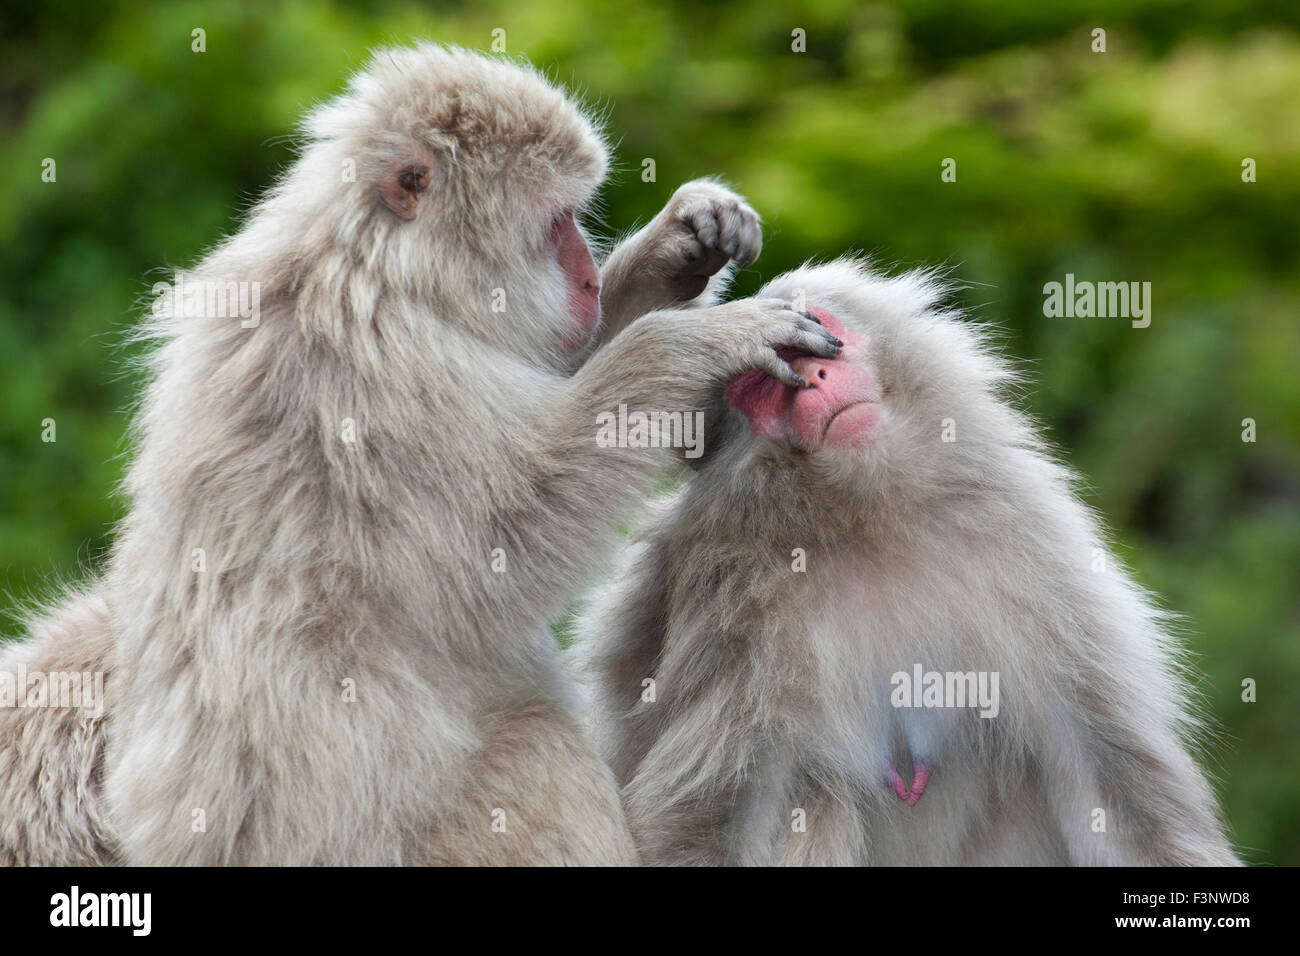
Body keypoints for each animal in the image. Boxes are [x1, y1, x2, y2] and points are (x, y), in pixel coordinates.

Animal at [0, 43, 841, 865]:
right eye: (556, 221)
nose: (585, 279)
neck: (386, 270)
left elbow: (554, 369)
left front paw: (681, 245)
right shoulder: (379, 375)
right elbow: (501, 552)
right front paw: (692, 343)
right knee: (536, 752)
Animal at [574, 258, 1240, 866]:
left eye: (816, 337)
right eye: (767, 379)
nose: (816, 378)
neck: (865, 520)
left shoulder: (1028, 541)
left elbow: (1113, 787)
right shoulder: (725, 596)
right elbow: (707, 817)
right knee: (820, 793)